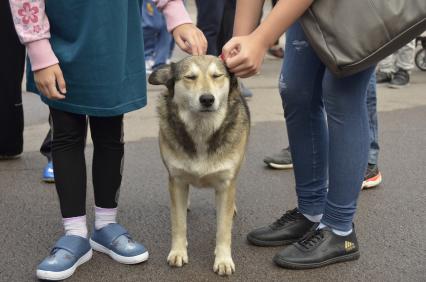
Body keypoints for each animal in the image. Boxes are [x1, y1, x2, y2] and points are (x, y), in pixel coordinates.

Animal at [149, 55, 250, 276]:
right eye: (190, 77)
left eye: (217, 76)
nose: (207, 99)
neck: (202, 129)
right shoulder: (176, 180)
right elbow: (178, 224)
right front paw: (178, 252)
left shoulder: (226, 183)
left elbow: (223, 229)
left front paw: (223, 260)